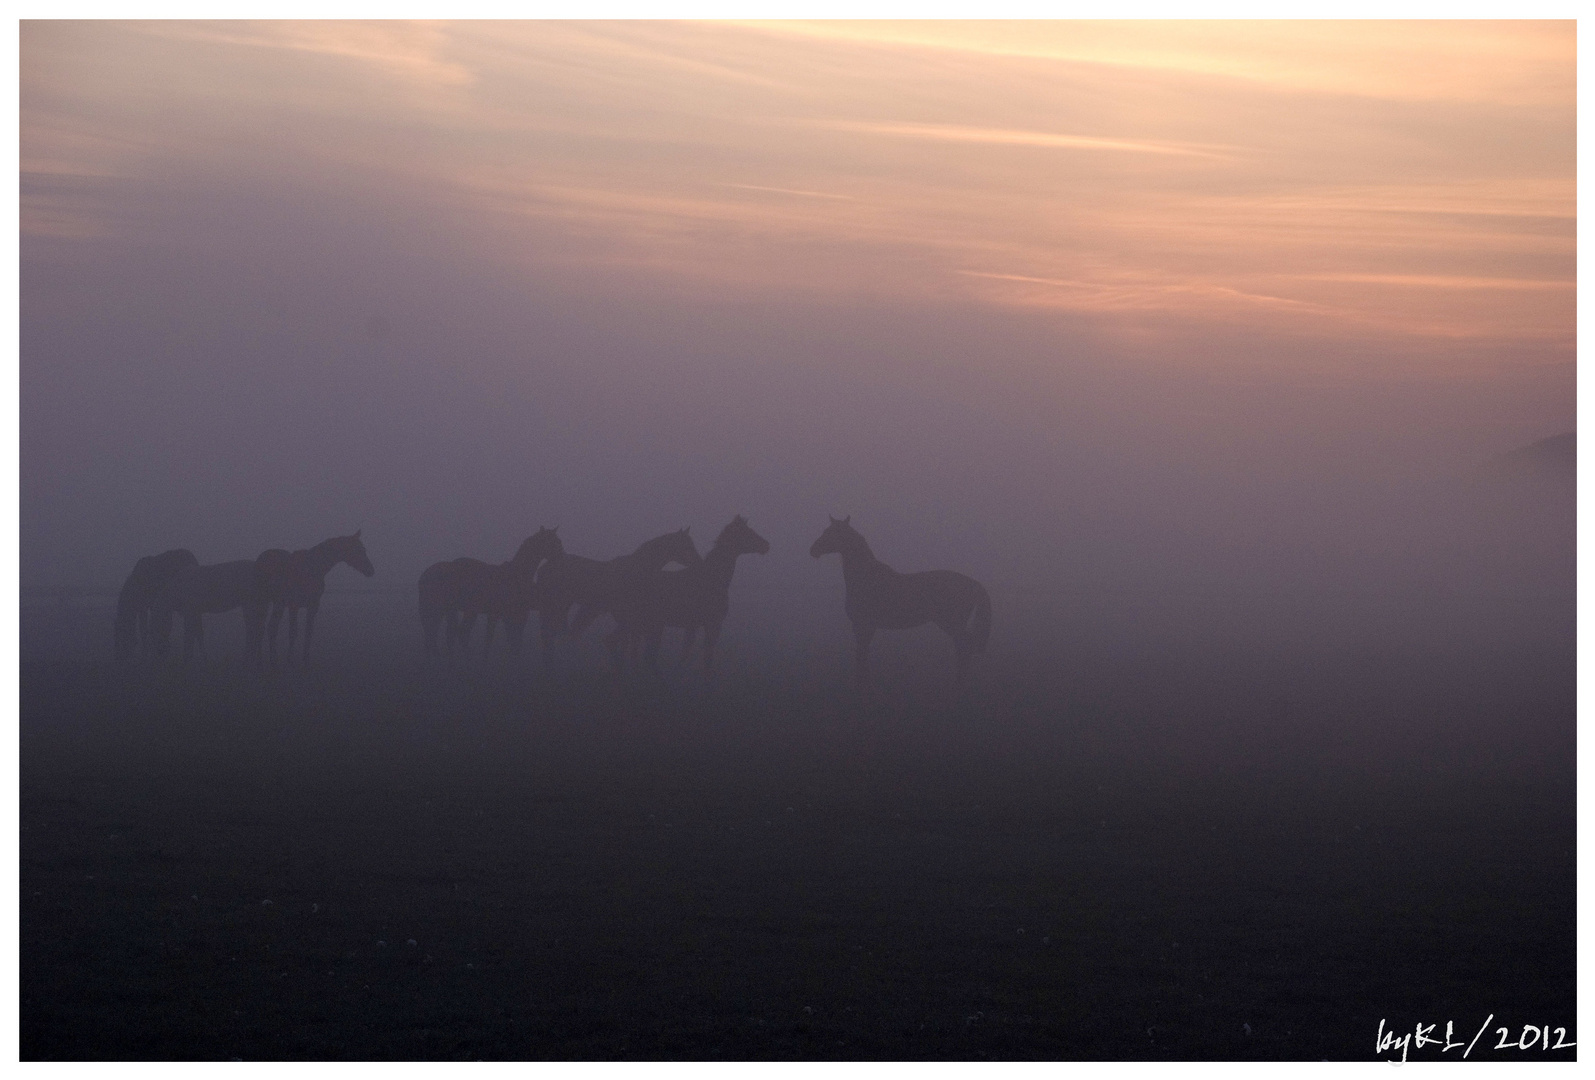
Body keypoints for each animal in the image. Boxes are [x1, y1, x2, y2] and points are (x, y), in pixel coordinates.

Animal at [256, 529, 378, 666]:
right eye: (360, 550)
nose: (370, 571)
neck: (314, 566)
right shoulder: (312, 606)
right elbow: (308, 632)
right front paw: (305, 659)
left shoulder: (294, 606)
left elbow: (293, 632)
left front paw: (290, 659)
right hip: (278, 603)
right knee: (271, 627)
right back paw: (273, 658)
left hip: (264, 601)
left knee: (260, 627)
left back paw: (259, 657)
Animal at [417, 523, 567, 657]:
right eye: (552, 542)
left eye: (559, 541)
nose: (562, 558)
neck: (515, 574)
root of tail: (425, 575)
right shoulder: (506, 615)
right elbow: (510, 640)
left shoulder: (498, 614)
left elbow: (501, 639)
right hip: (439, 609)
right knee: (438, 634)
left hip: (450, 610)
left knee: (442, 634)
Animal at [539, 526, 701, 660]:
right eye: (686, 546)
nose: (699, 562)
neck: (637, 570)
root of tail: (547, 566)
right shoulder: (628, 615)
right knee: (550, 633)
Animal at [612, 513, 768, 673]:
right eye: (746, 532)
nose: (766, 545)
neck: (712, 579)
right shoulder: (713, 624)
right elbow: (706, 658)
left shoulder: (692, 626)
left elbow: (686, 655)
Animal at [810, 516, 982, 682]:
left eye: (832, 533)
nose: (813, 550)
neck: (867, 578)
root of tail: (973, 583)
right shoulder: (865, 627)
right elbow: (862, 654)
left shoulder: (863, 625)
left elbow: (862, 655)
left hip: (952, 624)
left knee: (965, 646)